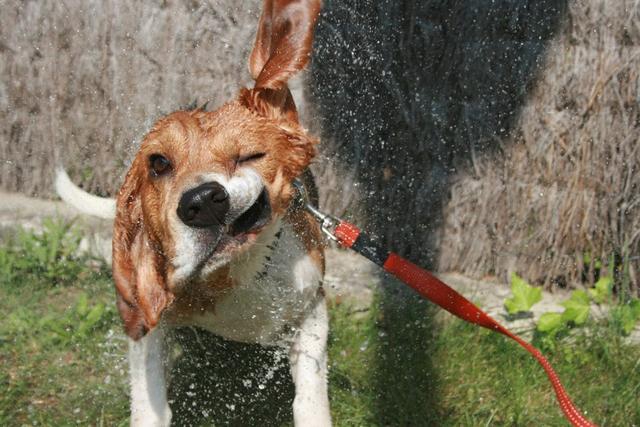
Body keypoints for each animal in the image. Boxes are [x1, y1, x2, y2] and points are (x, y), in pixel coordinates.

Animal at [57, 1, 332, 426]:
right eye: (158, 163)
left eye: (249, 156)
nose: (201, 201)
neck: (234, 274)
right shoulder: (151, 326)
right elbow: (150, 404)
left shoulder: (312, 308)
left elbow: (310, 395)